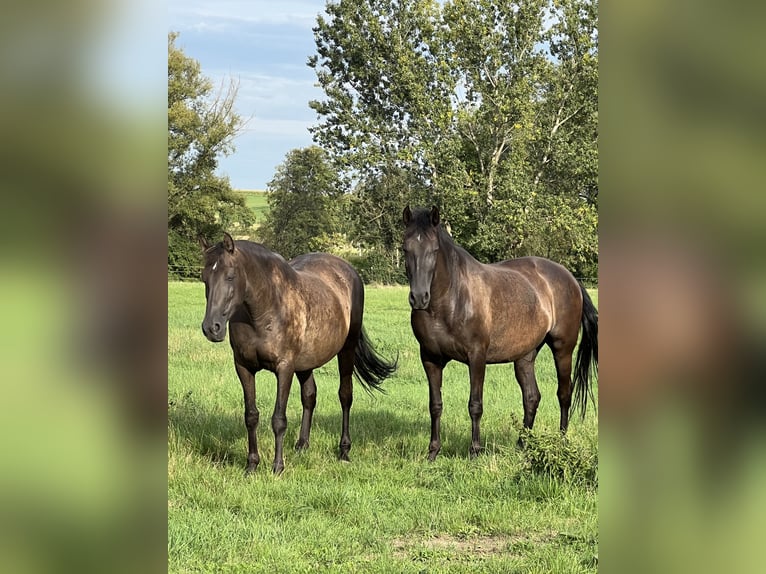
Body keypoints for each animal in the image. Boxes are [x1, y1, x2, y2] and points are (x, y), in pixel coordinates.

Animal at [199, 232, 397, 474]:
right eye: (205, 278)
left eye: (230, 276)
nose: (212, 328)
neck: (264, 311)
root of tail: (349, 271)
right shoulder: (244, 367)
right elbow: (251, 416)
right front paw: (252, 465)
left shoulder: (284, 368)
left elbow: (278, 419)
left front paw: (277, 467)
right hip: (306, 364)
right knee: (309, 396)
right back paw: (302, 445)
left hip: (346, 350)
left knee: (345, 396)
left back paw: (344, 450)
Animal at [401, 206, 598, 460]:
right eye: (405, 249)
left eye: (434, 250)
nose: (418, 298)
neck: (450, 299)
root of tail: (571, 279)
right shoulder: (430, 358)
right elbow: (435, 405)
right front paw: (433, 452)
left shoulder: (476, 357)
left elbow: (475, 405)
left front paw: (475, 451)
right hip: (525, 355)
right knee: (531, 397)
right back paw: (523, 445)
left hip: (562, 348)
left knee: (564, 393)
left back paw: (561, 443)